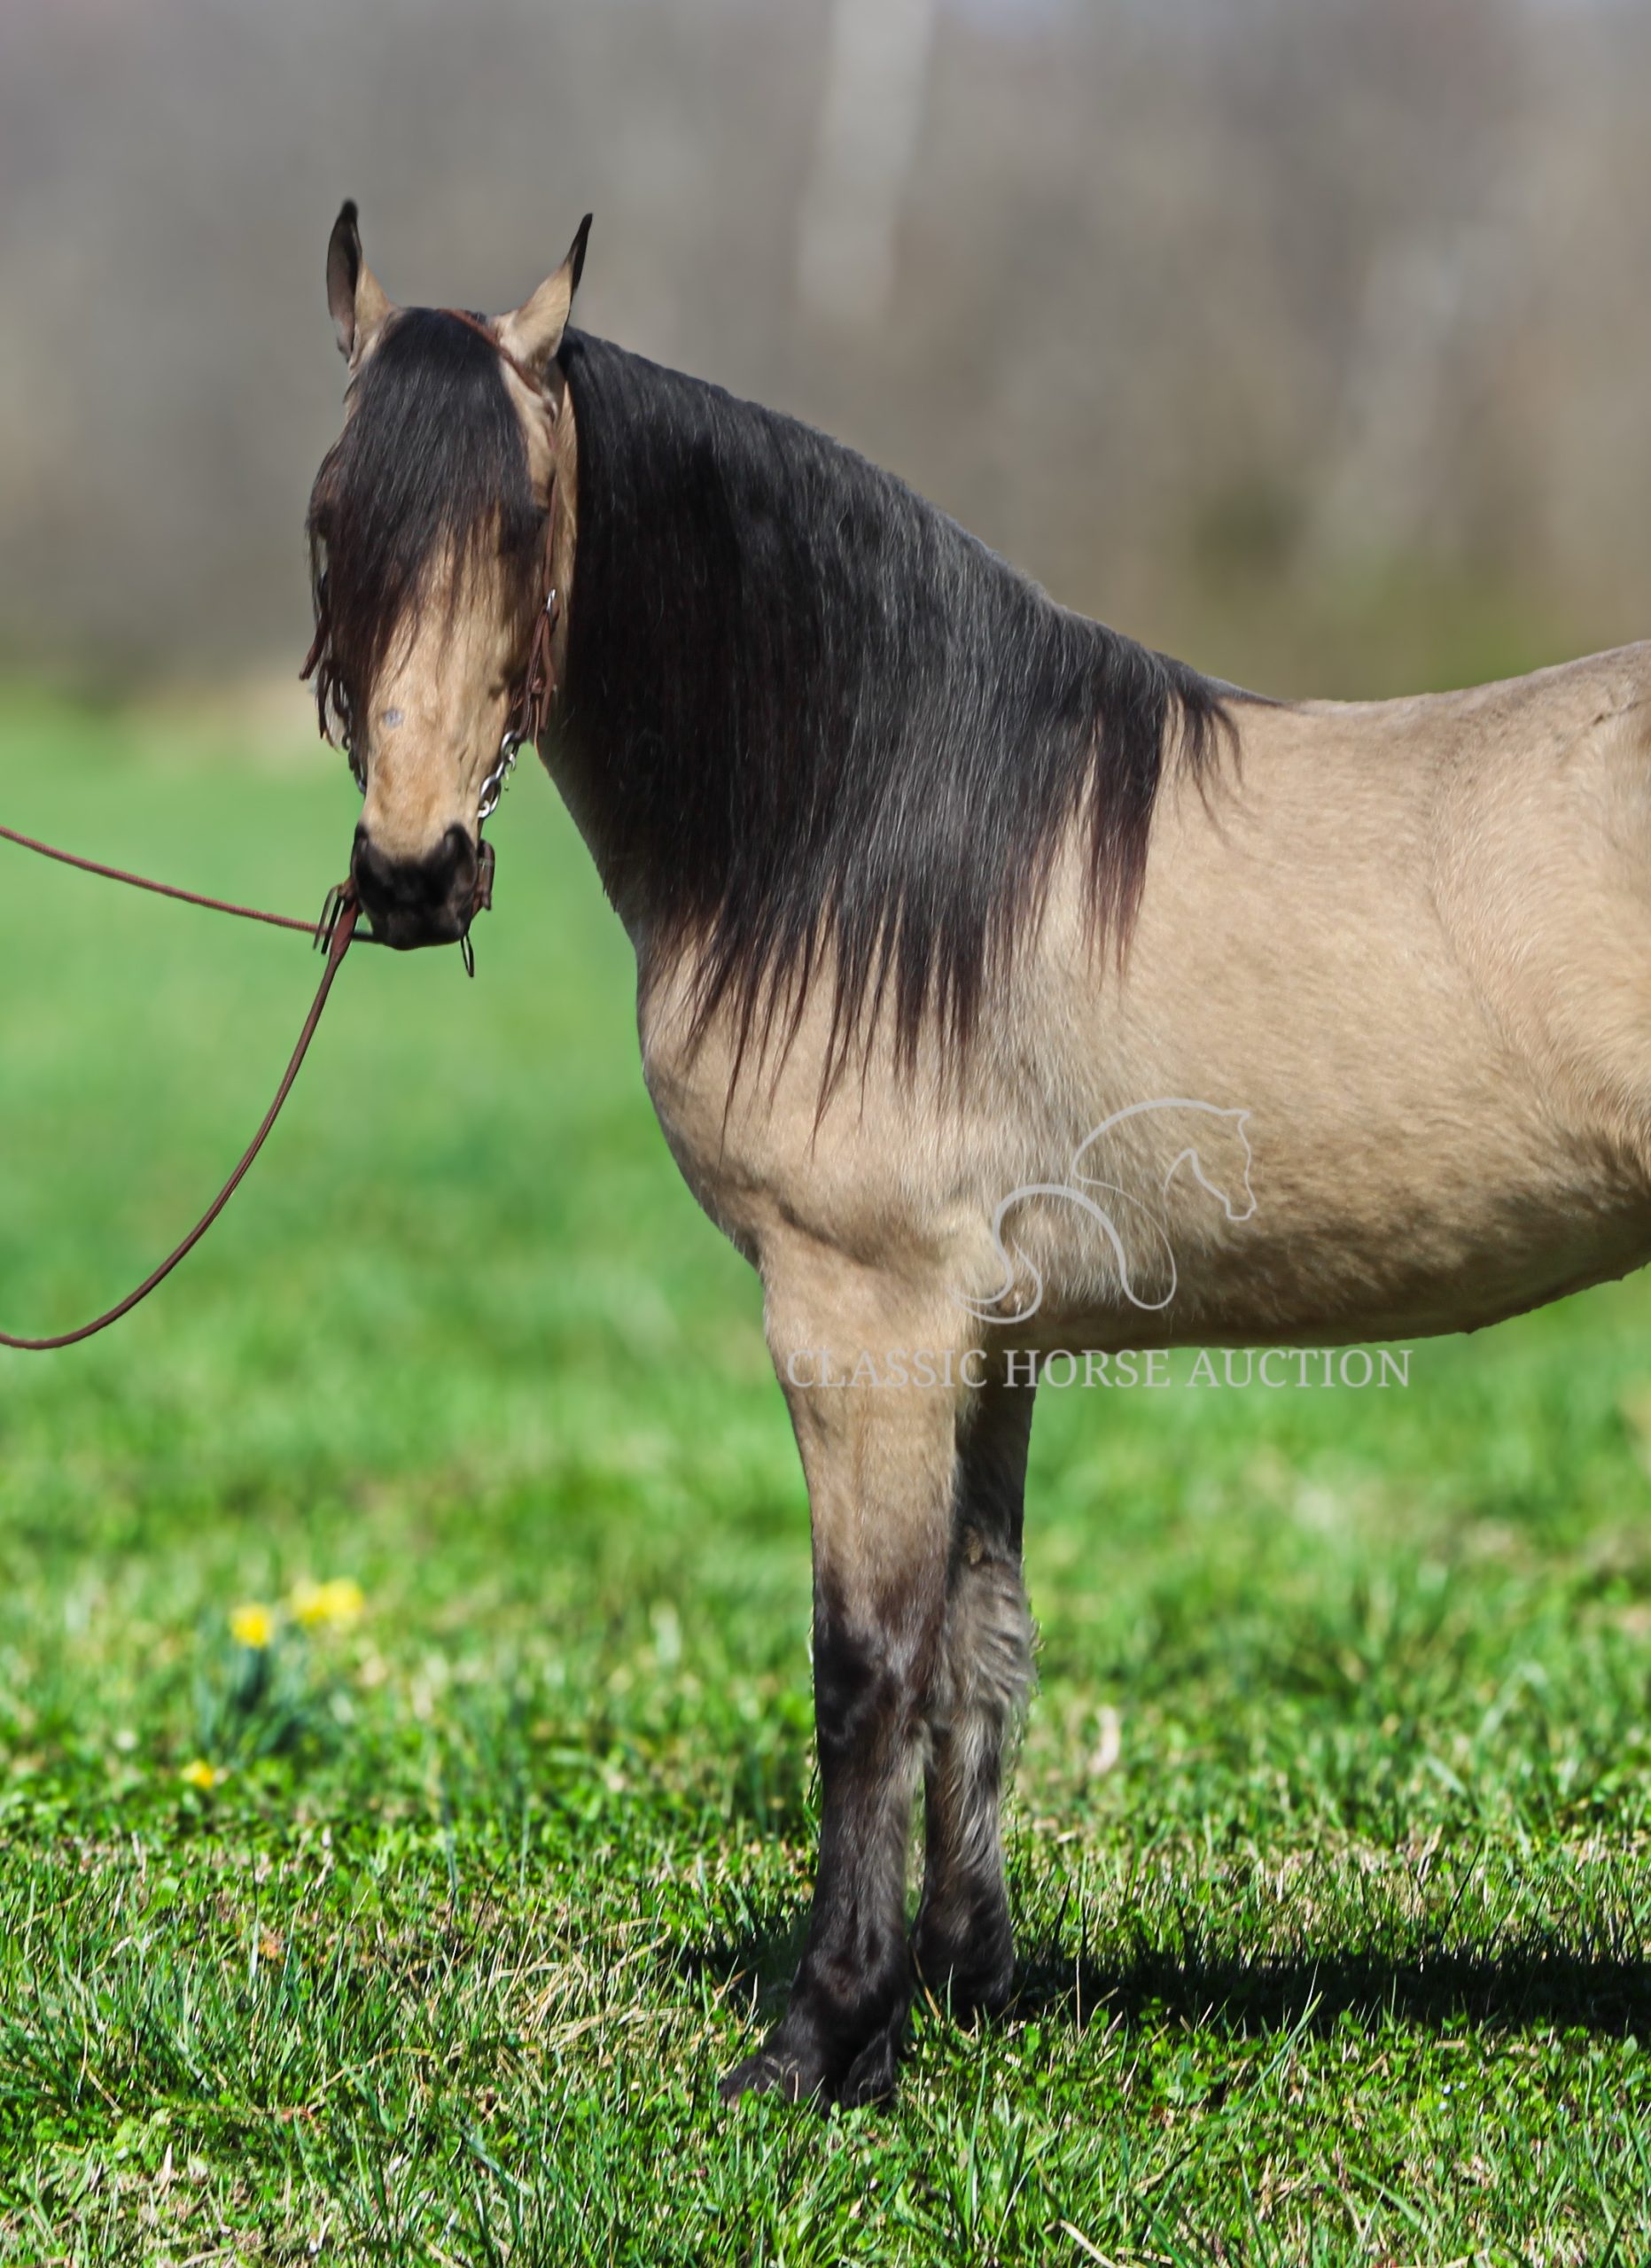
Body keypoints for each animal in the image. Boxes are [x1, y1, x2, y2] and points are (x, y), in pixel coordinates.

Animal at [306, 202, 1651, 2106]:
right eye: (329, 522)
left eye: (519, 526)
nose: (413, 871)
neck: (865, 827)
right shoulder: (990, 1336)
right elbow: (979, 1642)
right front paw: (953, 1982)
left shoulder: (856, 1315)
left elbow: (863, 1659)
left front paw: (821, 2037)